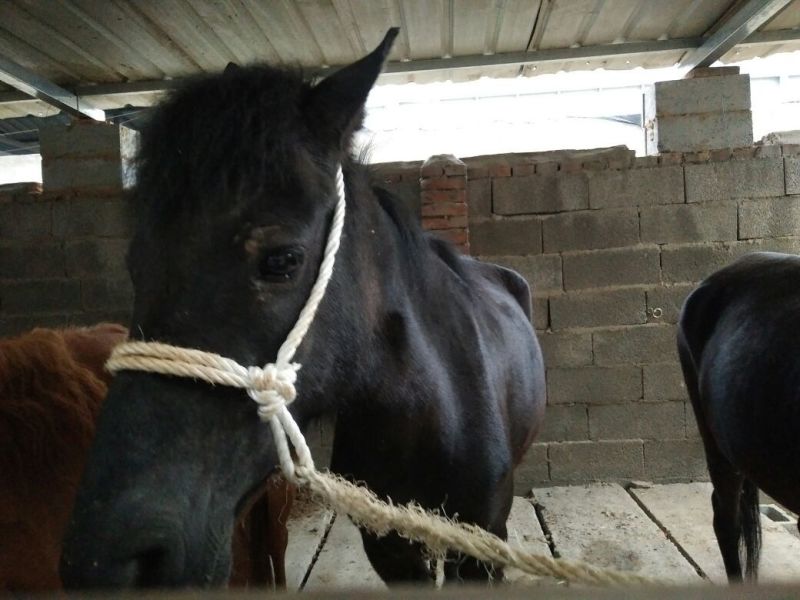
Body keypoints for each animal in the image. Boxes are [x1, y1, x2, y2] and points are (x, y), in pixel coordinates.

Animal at [60, 28, 546, 589]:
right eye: (135, 264)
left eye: (281, 260)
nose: (106, 560)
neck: (432, 415)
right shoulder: (392, 549)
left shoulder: (482, 550)